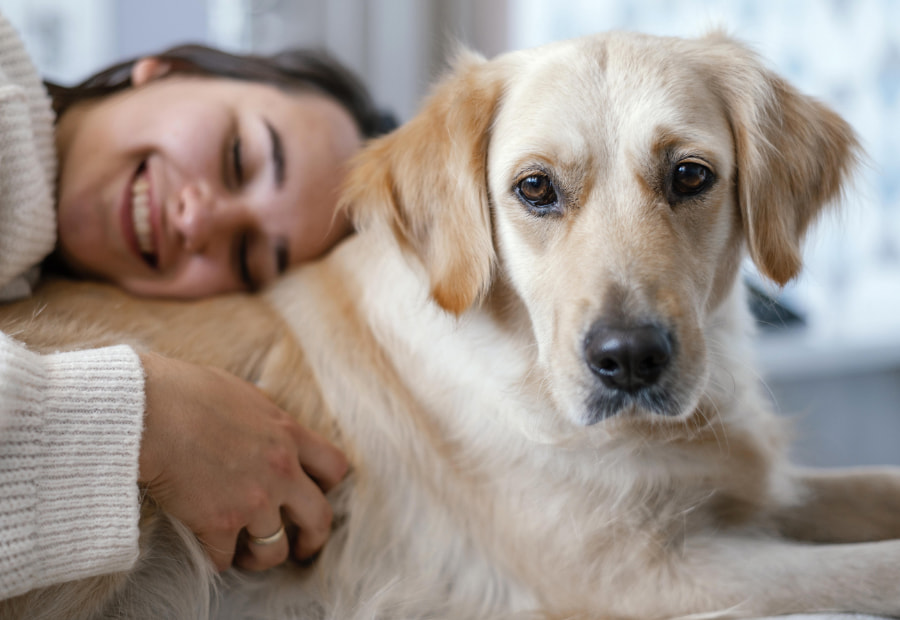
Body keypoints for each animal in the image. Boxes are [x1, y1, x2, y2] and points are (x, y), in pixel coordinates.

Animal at [3, 30, 896, 620]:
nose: (629, 359)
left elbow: (875, 486)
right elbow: (872, 569)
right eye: (535, 189)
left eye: (690, 176)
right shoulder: (645, 580)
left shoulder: (757, 495)